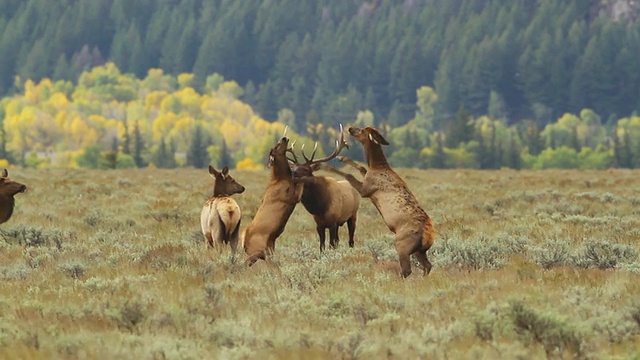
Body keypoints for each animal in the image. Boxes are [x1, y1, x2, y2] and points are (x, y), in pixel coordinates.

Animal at [244, 128, 306, 266]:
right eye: (276, 146)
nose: (284, 138)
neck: (282, 178)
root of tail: (244, 245)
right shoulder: (289, 197)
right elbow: (300, 186)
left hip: (269, 247)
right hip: (260, 250)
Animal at [324, 126, 436, 278]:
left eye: (362, 130)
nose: (350, 128)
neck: (378, 167)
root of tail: (429, 235)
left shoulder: (366, 190)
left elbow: (349, 175)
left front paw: (327, 166)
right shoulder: (367, 179)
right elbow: (362, 168)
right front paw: (341, 157)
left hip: (402, 244)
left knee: (407, 270)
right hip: (420, 250)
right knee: (427, 265)